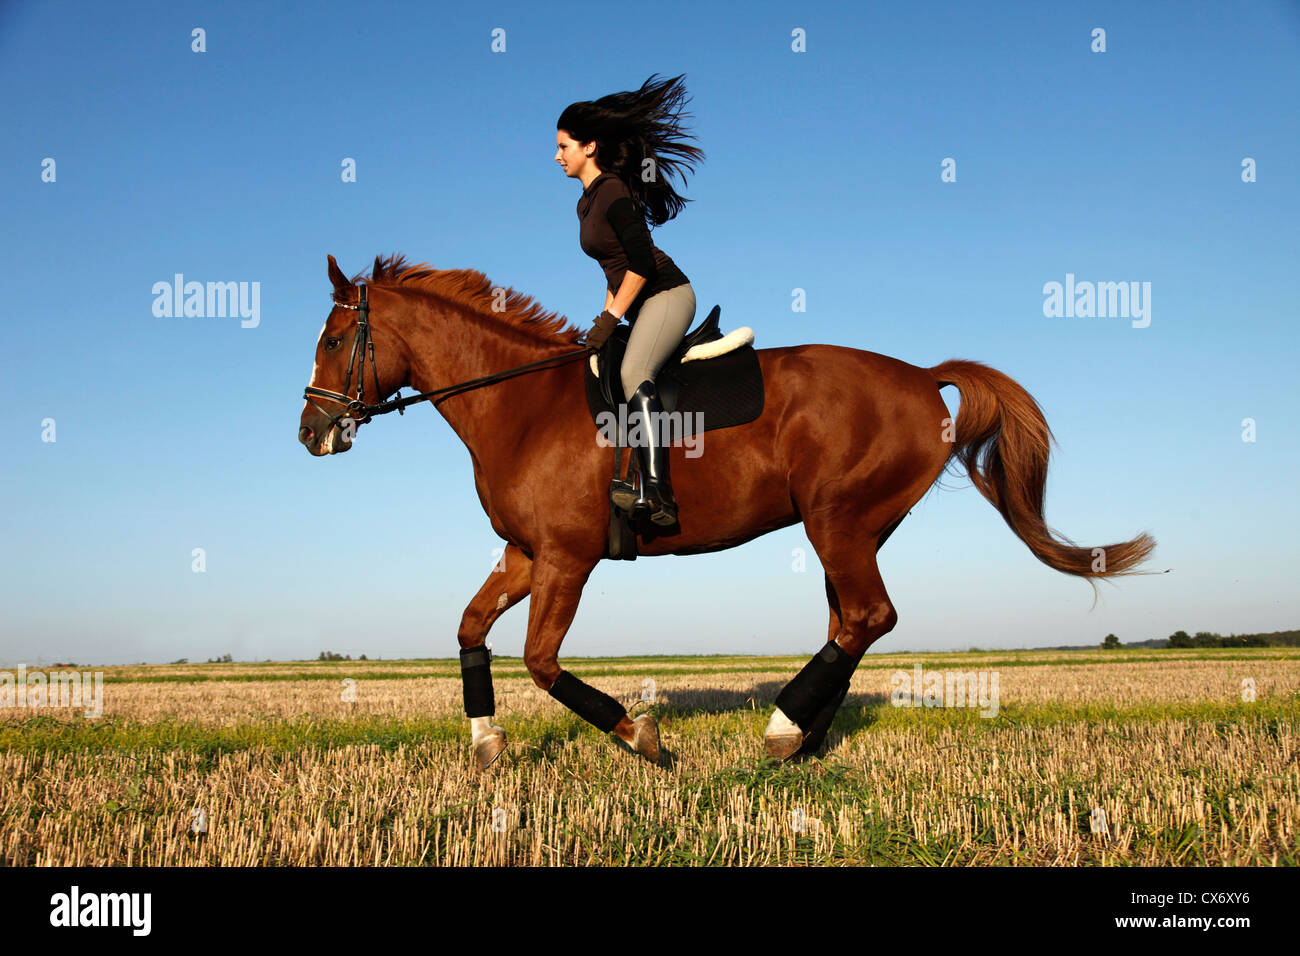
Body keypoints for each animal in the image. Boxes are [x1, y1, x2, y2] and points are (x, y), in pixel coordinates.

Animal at [299, 254, 1154, 770]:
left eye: (335, 339)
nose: (312, 432)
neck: (522, 405)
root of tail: (921, 375)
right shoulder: (525, 555)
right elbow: (471, 629)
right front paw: (486, 743)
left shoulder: (568, 558)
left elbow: (542, 661)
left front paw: (641, 736)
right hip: (852, 528)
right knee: (851, 622)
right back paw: (803, 737)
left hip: (838, 520)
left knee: (867, 617)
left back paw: (782, 730)